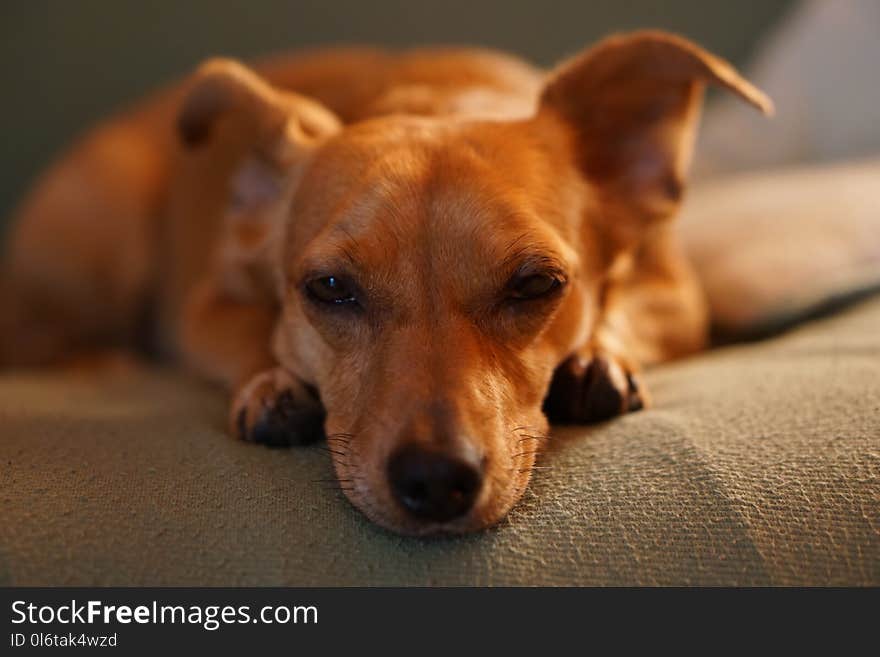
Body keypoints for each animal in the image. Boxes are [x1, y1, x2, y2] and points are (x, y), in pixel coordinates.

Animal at [0, 30, 768, 532]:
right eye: (329, 288)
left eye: (536, 284)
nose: (434, 478)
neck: (438, 103)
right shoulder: (207, 304)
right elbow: (251, 335)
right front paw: (272, 384)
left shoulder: (675, 291)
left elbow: (629, 309)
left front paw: (597, 358)